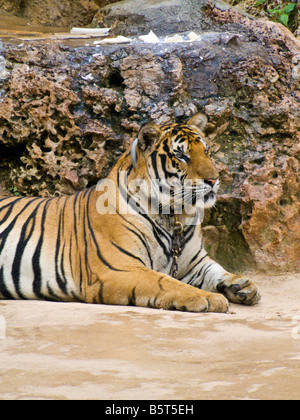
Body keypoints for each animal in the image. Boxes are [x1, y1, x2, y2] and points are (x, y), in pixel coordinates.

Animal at [0, 114, 258, 312]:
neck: (175, 215)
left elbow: (216, 270)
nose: (214, 179)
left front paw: (243, 285)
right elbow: (166, 282)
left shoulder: (194, 263)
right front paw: (209, 298)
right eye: (181, 155)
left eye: (207, 151)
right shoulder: (118, 268)